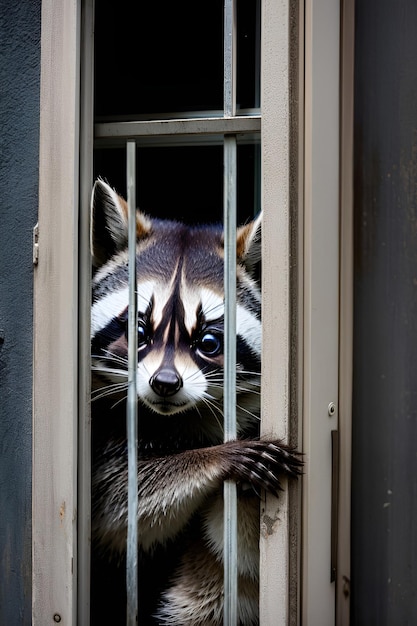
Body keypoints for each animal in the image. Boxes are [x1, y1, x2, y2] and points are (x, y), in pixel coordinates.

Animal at [89, 178, 300, 620]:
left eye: (208, 342)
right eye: (138, 332)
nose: (165, 383)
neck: (177, 418)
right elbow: (116, 502)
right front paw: (210, 459)